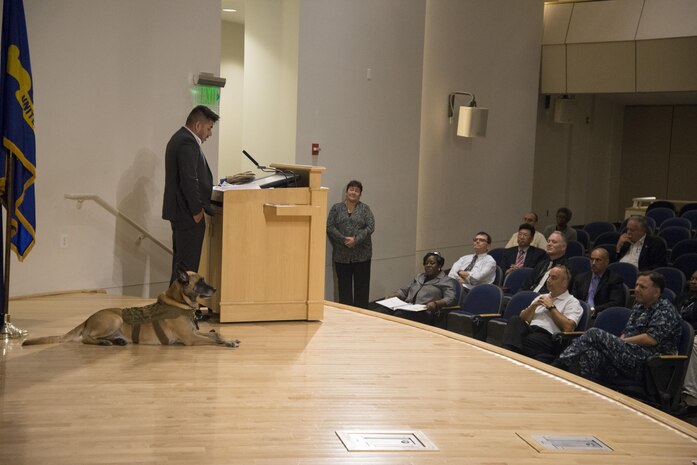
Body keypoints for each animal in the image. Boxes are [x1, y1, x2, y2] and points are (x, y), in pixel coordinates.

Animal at [23, 268, 241, 348]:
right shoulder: (190, 338)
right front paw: (228, 342)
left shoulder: (195, 333)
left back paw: (117, 341)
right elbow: (212, 339)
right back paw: (104, 342)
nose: (215, 288)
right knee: (85, 338)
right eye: (201, 282)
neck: (179, 302)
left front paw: (229, 338)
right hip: (115, 319)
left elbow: (215, 333)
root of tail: (87, 319)